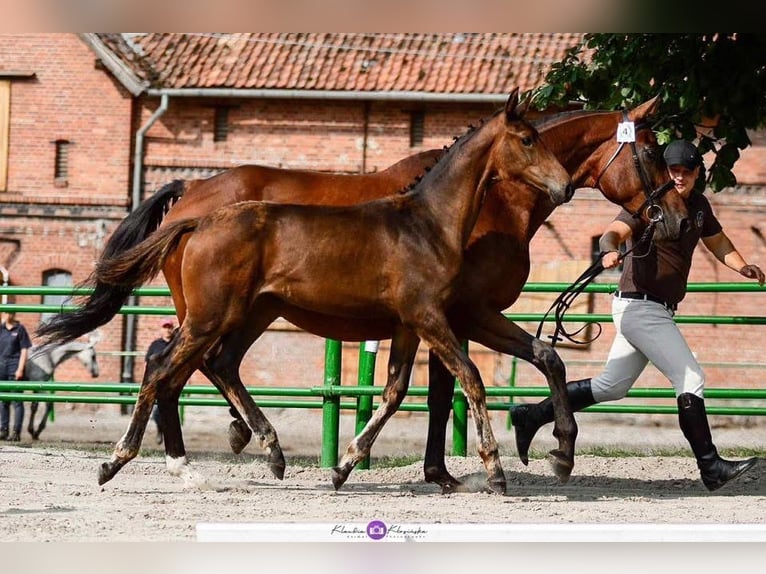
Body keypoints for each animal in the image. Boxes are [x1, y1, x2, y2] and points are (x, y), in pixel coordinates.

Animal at [37, 94, 686, 492]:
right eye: (651, 151)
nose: (678, 219)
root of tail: (193, 205)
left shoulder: (433, 320)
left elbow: (528, 361)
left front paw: (555, 453)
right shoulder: (451, 315)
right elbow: (459, 386)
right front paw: (476, 470)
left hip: (248, 313)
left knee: (207, 365)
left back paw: (249, 449)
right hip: (211, 314)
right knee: (163, 367)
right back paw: (139, 461)